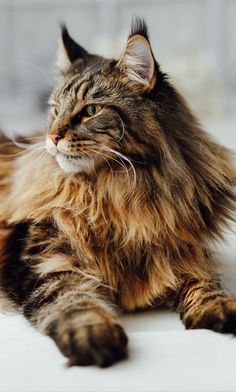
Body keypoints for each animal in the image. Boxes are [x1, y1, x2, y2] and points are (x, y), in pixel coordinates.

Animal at [0, 18, 236, 368]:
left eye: (91, 111)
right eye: (55, 109)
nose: (52, 136)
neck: (116, 194)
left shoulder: (181, 251)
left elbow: (205, 283)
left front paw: (219, 307)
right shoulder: (40, 260)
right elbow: (72, 299)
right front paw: (92, 335)